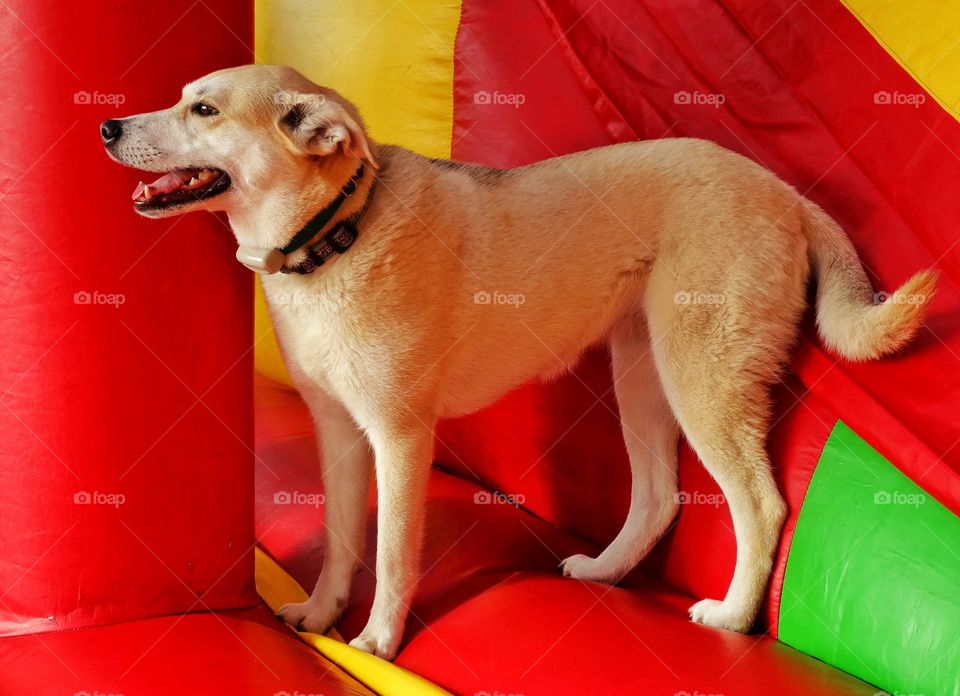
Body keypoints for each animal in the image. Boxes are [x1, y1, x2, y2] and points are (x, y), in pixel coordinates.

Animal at [101, 64, 932, 656]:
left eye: (205, 111)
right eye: (184, 99)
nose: (107, 125)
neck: (339, 231)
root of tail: (785, 193)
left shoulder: (400, 438)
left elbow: (393, 553)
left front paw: (377, 642)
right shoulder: (339, 433)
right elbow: (340, 540)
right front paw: (323, 614)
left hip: (703, 378)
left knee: (760, 505)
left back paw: (731, 617)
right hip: (642, 374)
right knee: (659, 497)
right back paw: (603, 572)